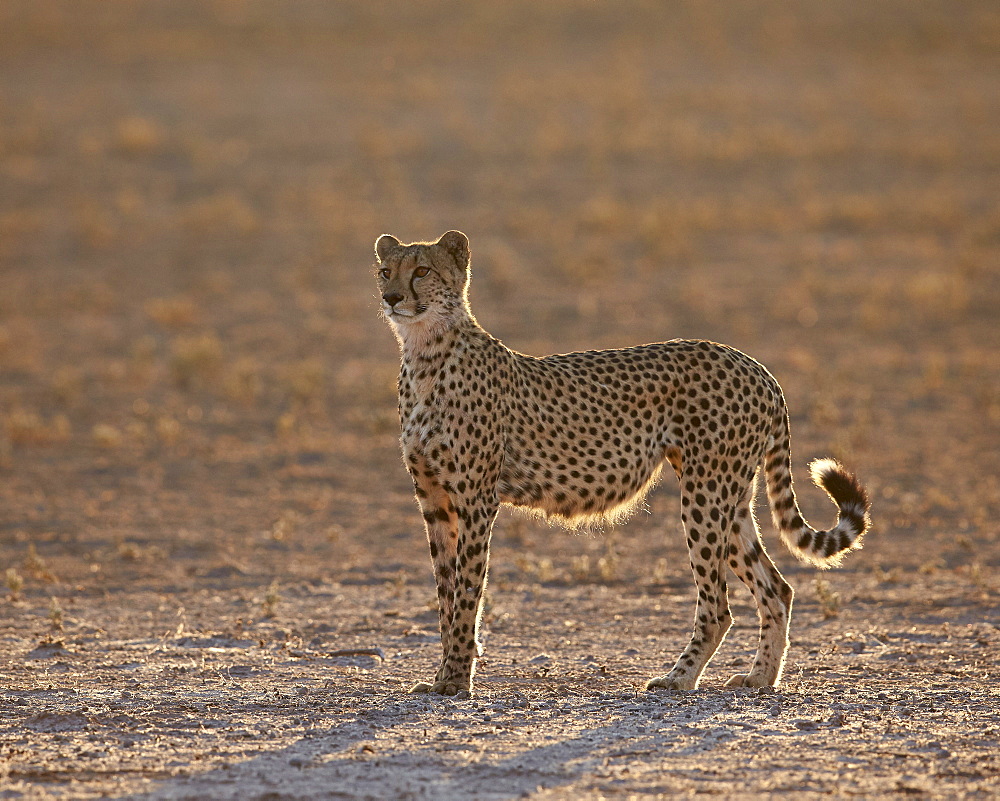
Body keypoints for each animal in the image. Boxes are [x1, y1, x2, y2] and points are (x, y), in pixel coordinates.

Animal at [376, 230, 868, 692]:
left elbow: (466, 594)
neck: (424, 353)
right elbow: (445, 592)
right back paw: (761, 677)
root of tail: (755, 365)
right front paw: (441, 676)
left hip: (706, 493)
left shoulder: (477, 500)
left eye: (421, 271)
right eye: (386, 271)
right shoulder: (434, 501)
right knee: (777, 588)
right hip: (729, 496)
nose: (391, 298)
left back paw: (678, 678)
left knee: (718, 604)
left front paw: (458, 680)